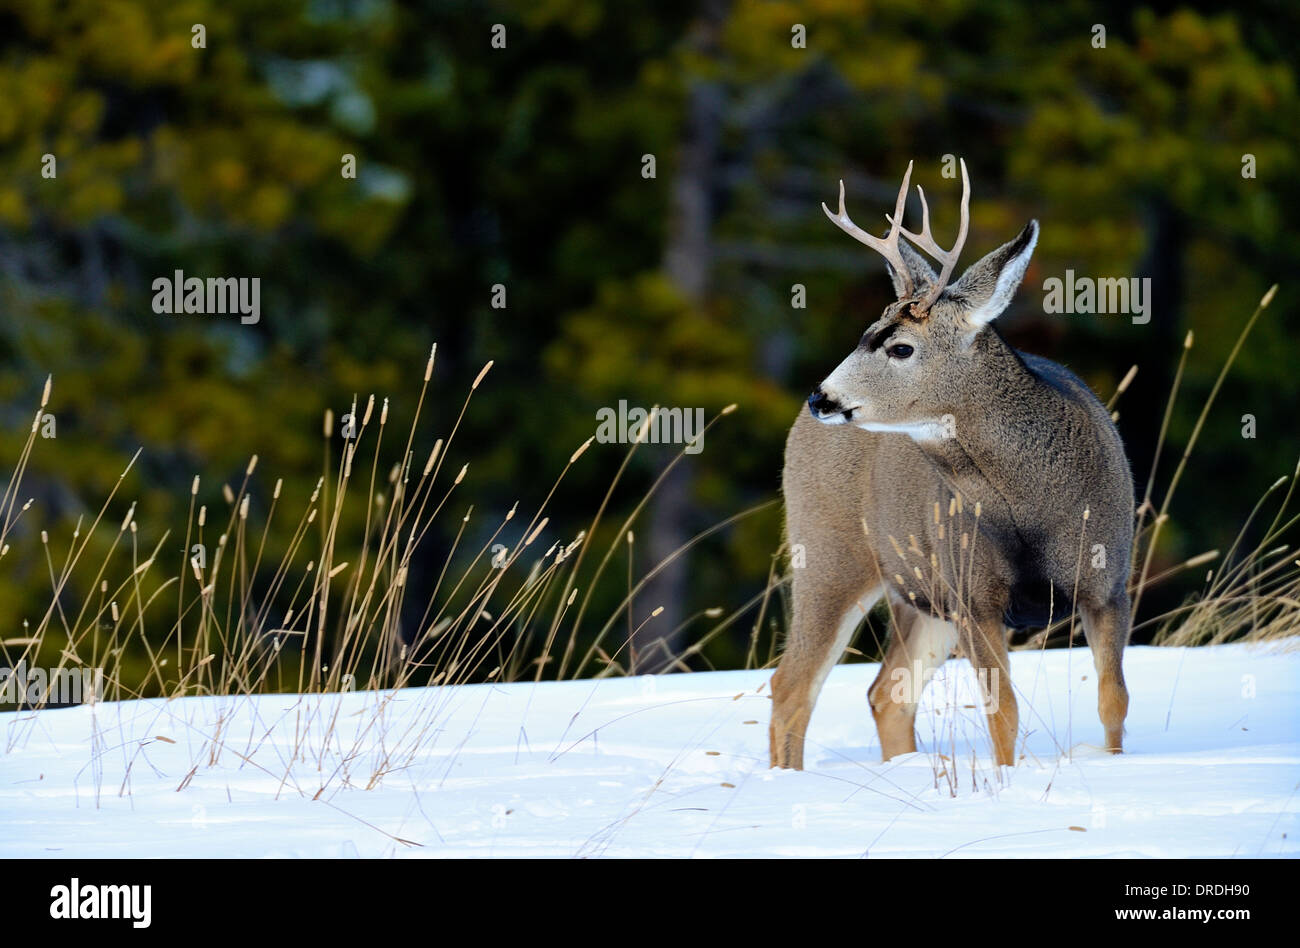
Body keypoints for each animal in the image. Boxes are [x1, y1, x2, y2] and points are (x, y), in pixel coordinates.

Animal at [770, 159, 1135, 771]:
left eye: (900, 347)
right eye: (866, 333)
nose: (821, 395)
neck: (1034, 511)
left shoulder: (1110, 584)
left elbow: (1114, 702)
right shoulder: (974, 595)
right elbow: (1003, 713)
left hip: (919, 595)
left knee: (885, 692)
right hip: (829, 551)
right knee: (791, 685)